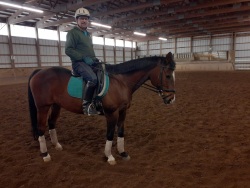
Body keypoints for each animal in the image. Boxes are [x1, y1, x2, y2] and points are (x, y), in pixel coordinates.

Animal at [27, 51, 176, 164]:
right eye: (168, 75)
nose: (171, 99)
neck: (121, 82)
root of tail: (39, 71)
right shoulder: (111, 113)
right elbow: (109, 134)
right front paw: (109, 156)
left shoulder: (123, 111)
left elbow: (120, 132)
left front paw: (123, 153)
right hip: (43, 107)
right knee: (41, 128)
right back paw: (45, 154)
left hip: (56, 105)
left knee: (52, 123)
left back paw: (57, 145)